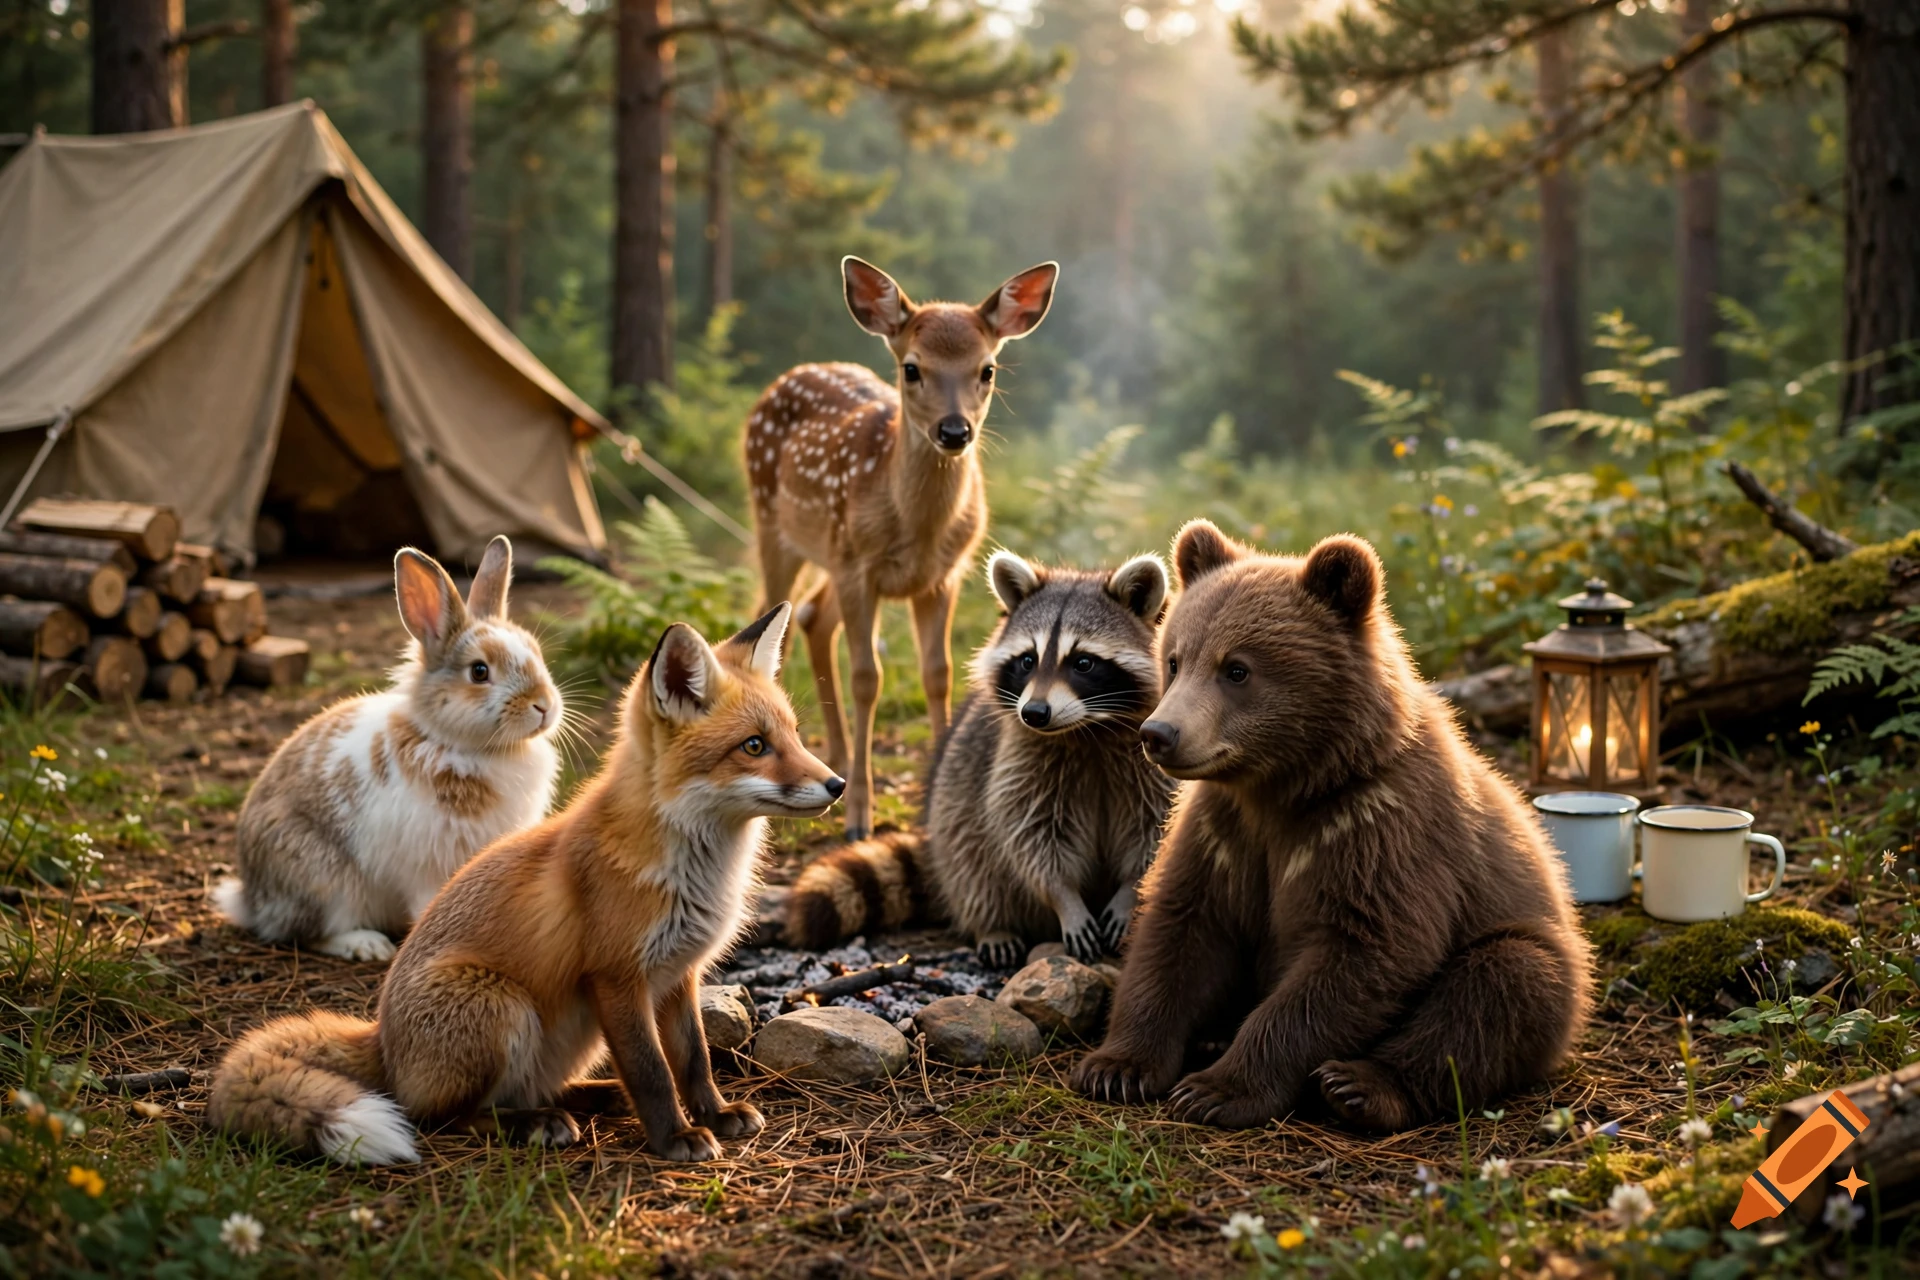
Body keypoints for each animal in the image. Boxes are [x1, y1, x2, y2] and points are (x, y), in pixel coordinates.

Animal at [207, 604, 844, 1165]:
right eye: (754, 747)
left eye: (793, 735)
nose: (837, 784)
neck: (694, 870)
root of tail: (382, 1043)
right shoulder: (617, 977)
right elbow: (652, 1071)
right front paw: (675, 1139)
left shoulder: (678, 974)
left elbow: (694, 1060)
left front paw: (714, 1114)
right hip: (502, 1006)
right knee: (441, 1115)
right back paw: (535, 1123)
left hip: (572, 1037)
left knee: (526, 1090)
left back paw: (592, 1099)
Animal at [744, 256, 1059, 839]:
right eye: (912, 368)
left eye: (987, 369)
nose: (954, 430)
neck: (918, 529)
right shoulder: (858, 567)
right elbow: (868, 677)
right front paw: (859, 816)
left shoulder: (944, 574)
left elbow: (938, 673)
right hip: (776, 526)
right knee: (780, 622)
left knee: (812, 617)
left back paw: (837, 757)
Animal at [786, 550, 1174, 967]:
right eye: (1027, 661)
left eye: (1083, 662)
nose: (1034, 713)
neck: (1089, 729)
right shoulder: (1019, 761)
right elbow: (1030, 837)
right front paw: (1064, 898)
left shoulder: (1152, 761)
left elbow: (1153, 833)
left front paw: (1130, 892)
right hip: (954, 803)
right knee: (971, 859)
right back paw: (993, 925)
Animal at [1071, 521, 1593, 1132]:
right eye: (1175, 659)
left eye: (1237, 669)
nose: (1160, 734)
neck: (1287, 785)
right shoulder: (1222, 831)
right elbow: (1178, 931)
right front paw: (1116, 1066)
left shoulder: (1382, 825)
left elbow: (1365, 949)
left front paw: (1216, 1089)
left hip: (1536, 950)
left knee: (1500, 987)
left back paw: (1359, 1086)